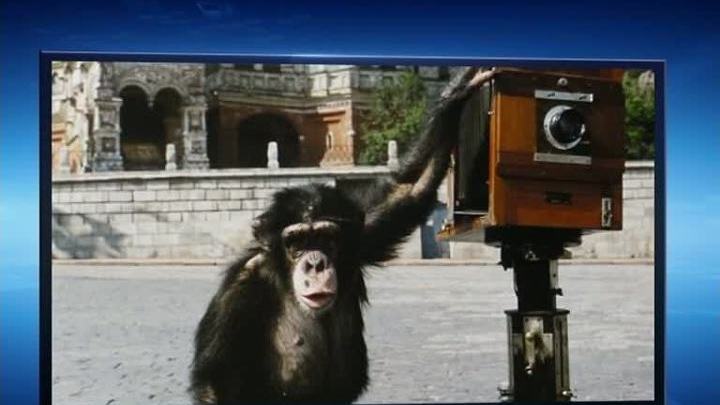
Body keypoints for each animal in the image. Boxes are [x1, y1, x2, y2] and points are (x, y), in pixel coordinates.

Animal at [189, 67, 494, 404]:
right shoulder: (242, 285)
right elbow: (216, 381)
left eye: (324, 239)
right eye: (296, 243)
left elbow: (410, 188)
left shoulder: (360, 234)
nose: (315, 264)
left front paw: (455, 94)